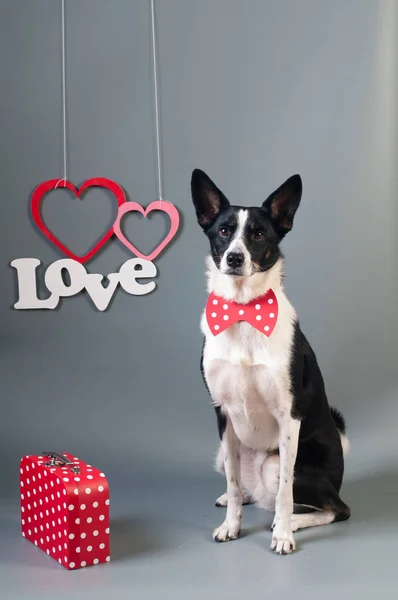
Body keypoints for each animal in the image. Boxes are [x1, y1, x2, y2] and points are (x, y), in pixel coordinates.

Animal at [191, 169, 350, 552]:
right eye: (223, 231)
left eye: (258, 234)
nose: (234, 258)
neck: (244, 311)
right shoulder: (223, 413)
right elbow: (234, 484)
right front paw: (231, 525)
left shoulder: (288, 416)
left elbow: (285, 494)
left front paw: (282, 533)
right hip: (225, 451)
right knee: (247, 485)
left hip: (278, 465)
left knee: (332, 507)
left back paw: (291, 521)